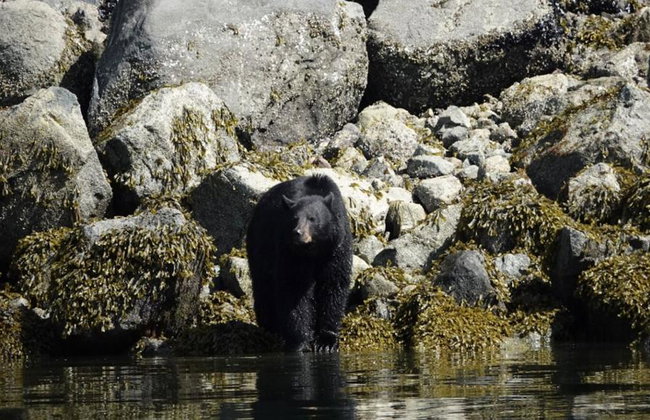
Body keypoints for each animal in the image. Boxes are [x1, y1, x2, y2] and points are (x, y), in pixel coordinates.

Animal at [246, 174, 353, 352]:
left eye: (312, 218)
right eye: (294, 218)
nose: (298, 233)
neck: (313, 250)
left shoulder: (336, 249)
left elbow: (333, 285)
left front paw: (326, 341)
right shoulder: (290, 252)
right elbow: (294, 288)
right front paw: (300, 342)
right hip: (259, 245)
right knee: (264, 287)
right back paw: (270, 327)